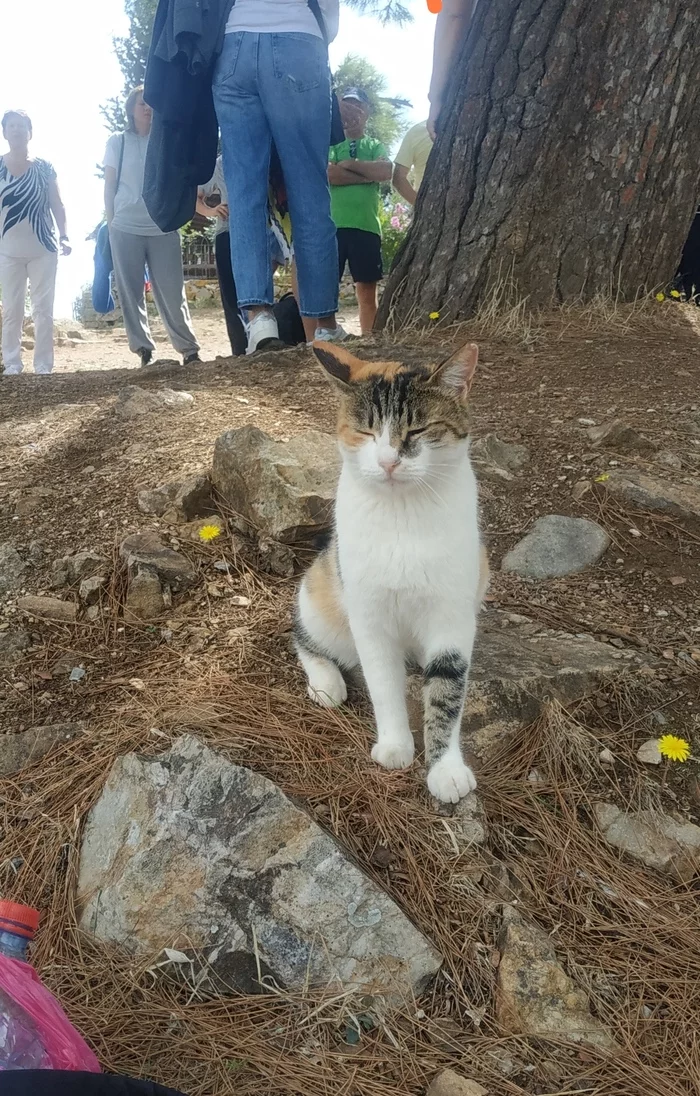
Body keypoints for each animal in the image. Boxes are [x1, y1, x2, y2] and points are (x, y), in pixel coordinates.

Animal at [293, 337, 486, 802]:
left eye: (416, 430)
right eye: (365, 431)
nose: (387, 462)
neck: (403, 514)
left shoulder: (453, 616)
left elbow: (448, 690)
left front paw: (446, 769)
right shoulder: (368, 614)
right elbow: (382, 682)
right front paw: (396, 746)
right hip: (319, 591)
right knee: (304, 637)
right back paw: (327, 683)